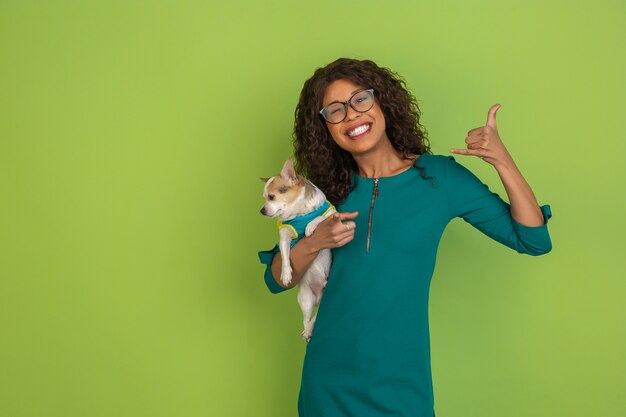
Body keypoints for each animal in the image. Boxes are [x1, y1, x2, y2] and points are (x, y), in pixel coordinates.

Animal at [258, 156, 336, 342]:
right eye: (264, 198)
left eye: (271, 197)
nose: (262, 210)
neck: (299, 213)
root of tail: (319, 295)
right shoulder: (285, 237)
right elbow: (285, 256)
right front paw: (286, 274)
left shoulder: (334, 215)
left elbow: (319, 218)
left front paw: (310, 227)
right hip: (305, 299)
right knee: (307, 319)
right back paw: (307, 331)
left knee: (315, 317)